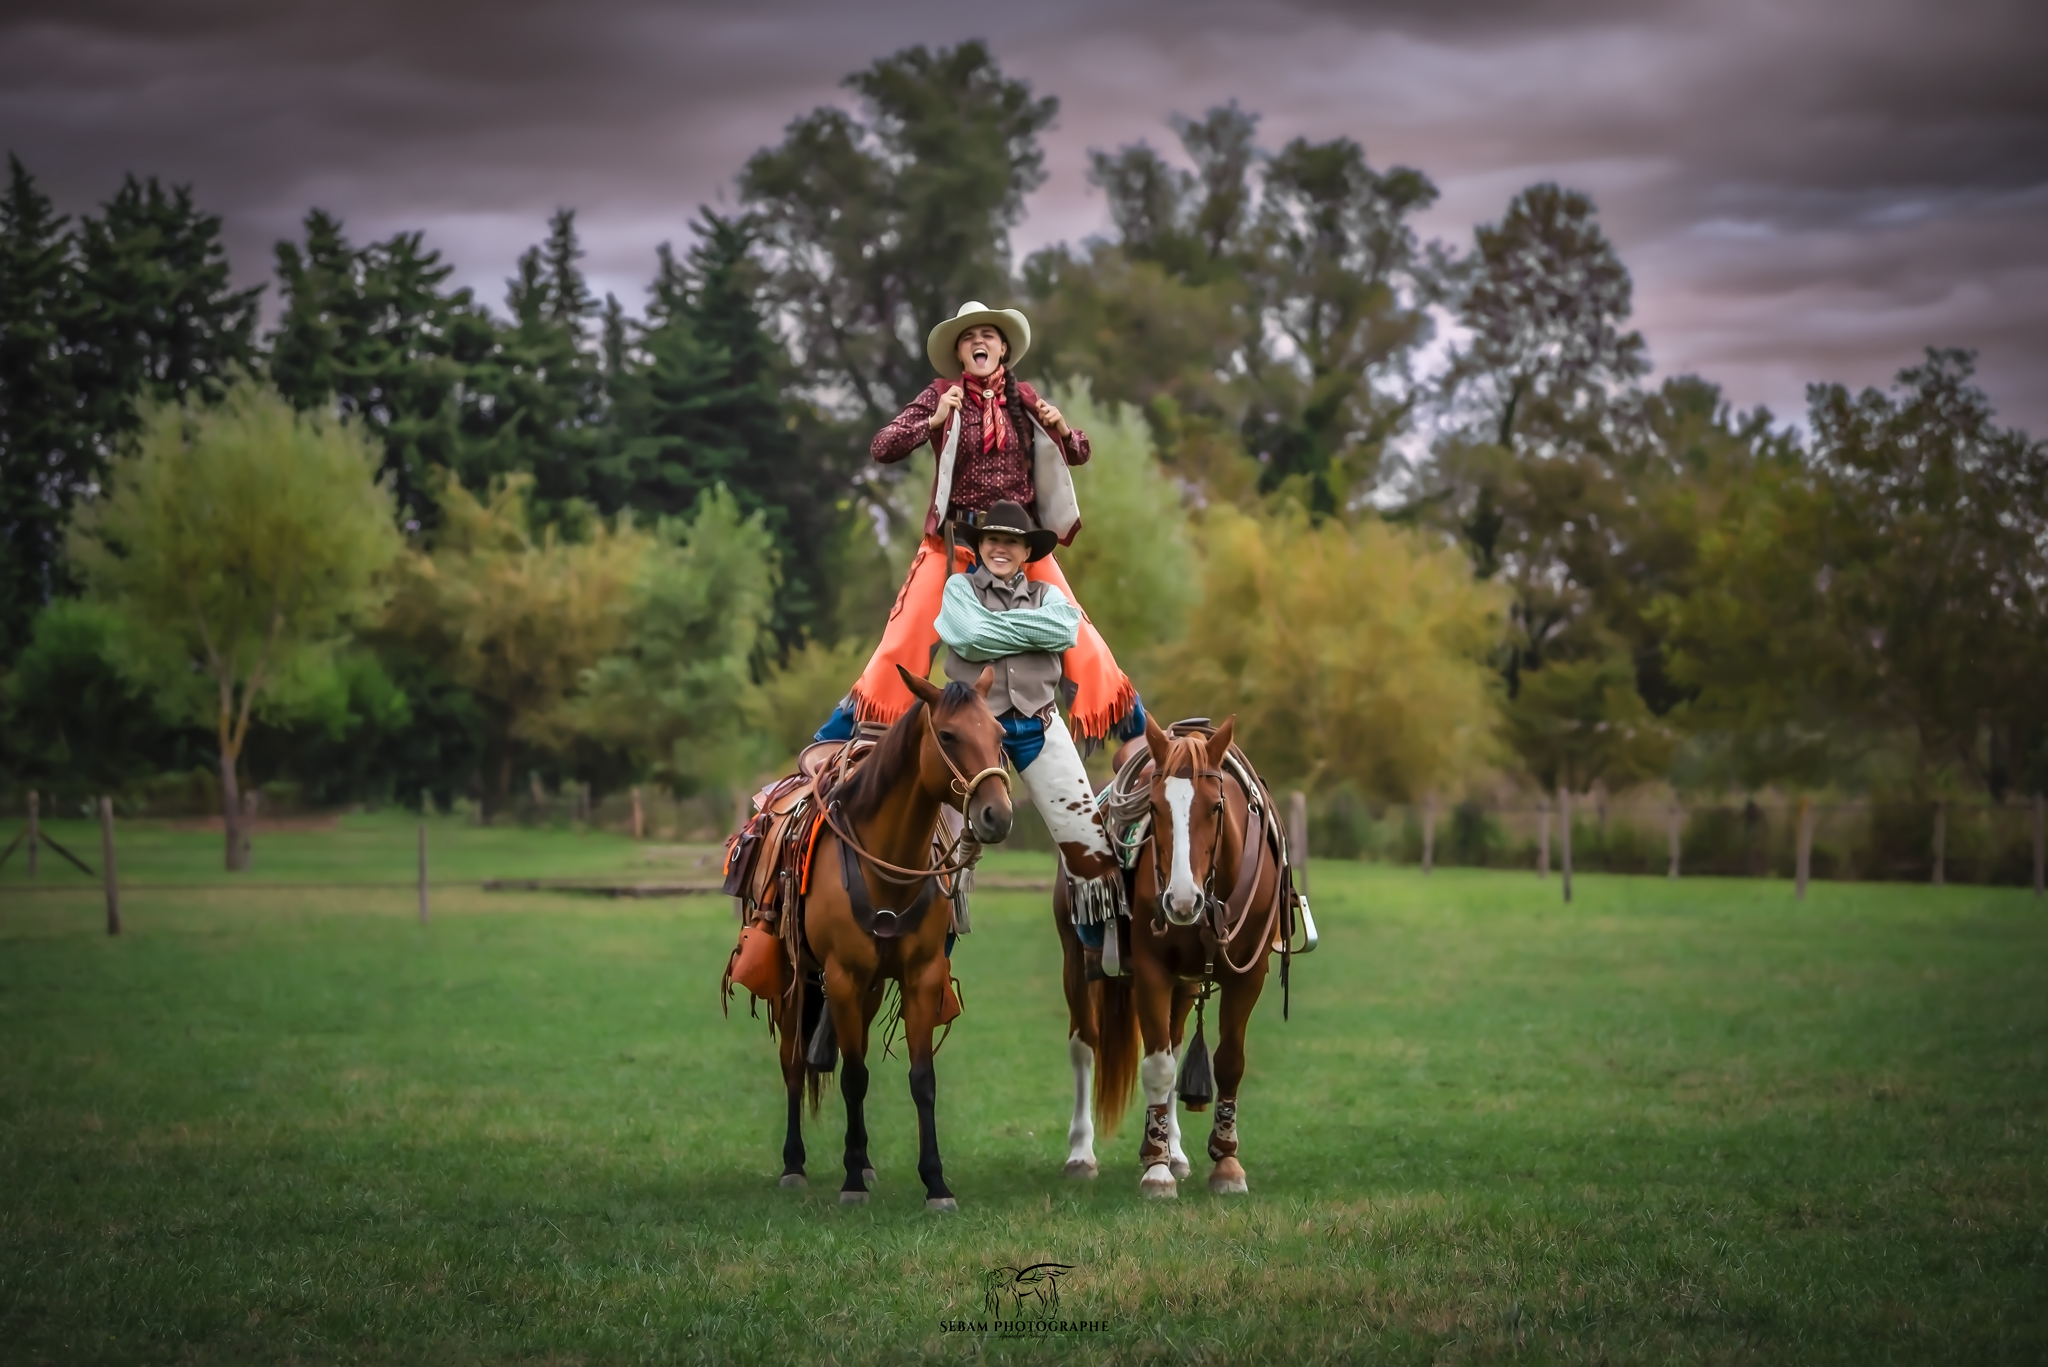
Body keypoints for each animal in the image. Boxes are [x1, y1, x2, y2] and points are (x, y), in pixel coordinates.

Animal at [773, 663, 1014, 1211]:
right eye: (948, 735)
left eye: (999, 734)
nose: (998, 815)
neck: (886, 864)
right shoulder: (840, 977)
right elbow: (853, 1077)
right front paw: (850, 1184)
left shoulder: (918, 977)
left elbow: (921, 1080)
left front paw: (935, 1184)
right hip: (795, 979)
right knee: (794, 1063)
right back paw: (795, 1165)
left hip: (869, 988)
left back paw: (861, 1159)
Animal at [1056, 713, 1301, 1198]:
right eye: (1153, 808)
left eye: (1216, 807)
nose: (1181, 901)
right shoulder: (1152, 973)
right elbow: (1157, 1068)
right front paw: (1156, 1169)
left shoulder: (1249, 977)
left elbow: (1228, 1062)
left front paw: (1225, 1163)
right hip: (1076, 963)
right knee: (1084, 1046)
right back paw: (1081, 1153)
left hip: (1185, 987)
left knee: (1174, 1040)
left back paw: (1177, 1151)